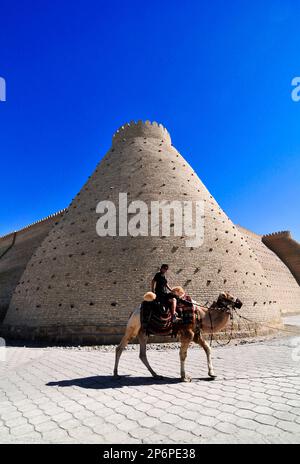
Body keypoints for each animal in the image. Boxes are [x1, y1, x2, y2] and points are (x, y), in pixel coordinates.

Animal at [113, 292, 243, 382]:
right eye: (231, 297)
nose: (240, 303)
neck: (201, 315)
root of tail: (133, 312)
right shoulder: (188, 333)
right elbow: (183, 355)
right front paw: (184, 377)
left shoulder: (196, 334)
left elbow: (208, 348)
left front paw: (212, 373)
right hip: (133, 328)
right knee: (119, 348)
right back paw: (116, 374)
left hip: (143, 332)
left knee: (142, 354)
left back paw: (156, 375)